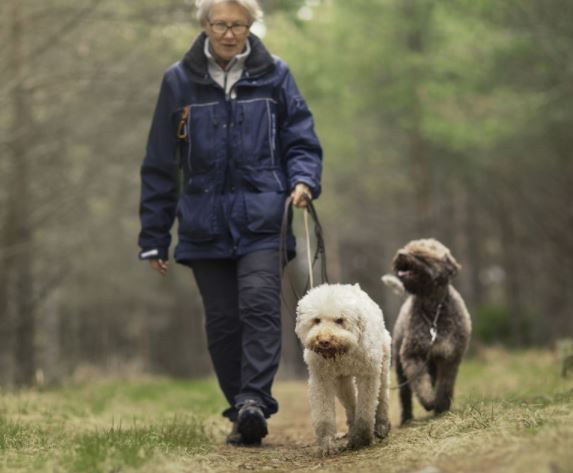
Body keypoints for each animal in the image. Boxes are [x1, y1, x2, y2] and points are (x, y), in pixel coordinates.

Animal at [294, 282, 388, 456]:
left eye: (340, 320)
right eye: (316, 320)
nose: (324, 341)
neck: (342, 352)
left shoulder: (368, 375)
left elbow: (366, 410)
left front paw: (363, 438)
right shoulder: (321, 378)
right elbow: (324, 415)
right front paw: (327, 444)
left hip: (383, 364)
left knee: (383, 395)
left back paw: (381, 425)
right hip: (341, 382)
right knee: (350, 404)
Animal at [384, 240, 470, 424]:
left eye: (420, 253)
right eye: (407, 248)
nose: (401, 254)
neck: (434, 311)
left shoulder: (449, 356)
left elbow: (445, 384)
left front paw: (442, 406)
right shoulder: (412, 355)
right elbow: (421, 383)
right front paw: (429, 401)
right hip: (400, 366)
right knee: (405, 394)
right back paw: (406, 418)